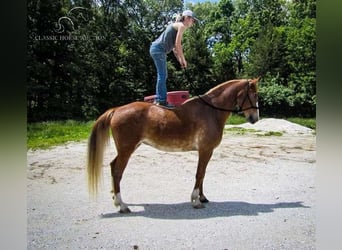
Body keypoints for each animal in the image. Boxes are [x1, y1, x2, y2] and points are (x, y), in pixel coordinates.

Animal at [87, 77, 260, 213]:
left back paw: (116, 199)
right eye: (254, 94)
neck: (210, 111)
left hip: (128, 148)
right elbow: (200, 174)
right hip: (127, 150)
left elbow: (203, 174)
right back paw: (122, 205)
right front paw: (196, 200)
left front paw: (202, 197)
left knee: (112, 166)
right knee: (117, 172)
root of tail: (116, 110)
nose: (255, 118)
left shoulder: (206, 151)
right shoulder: (205, 150)